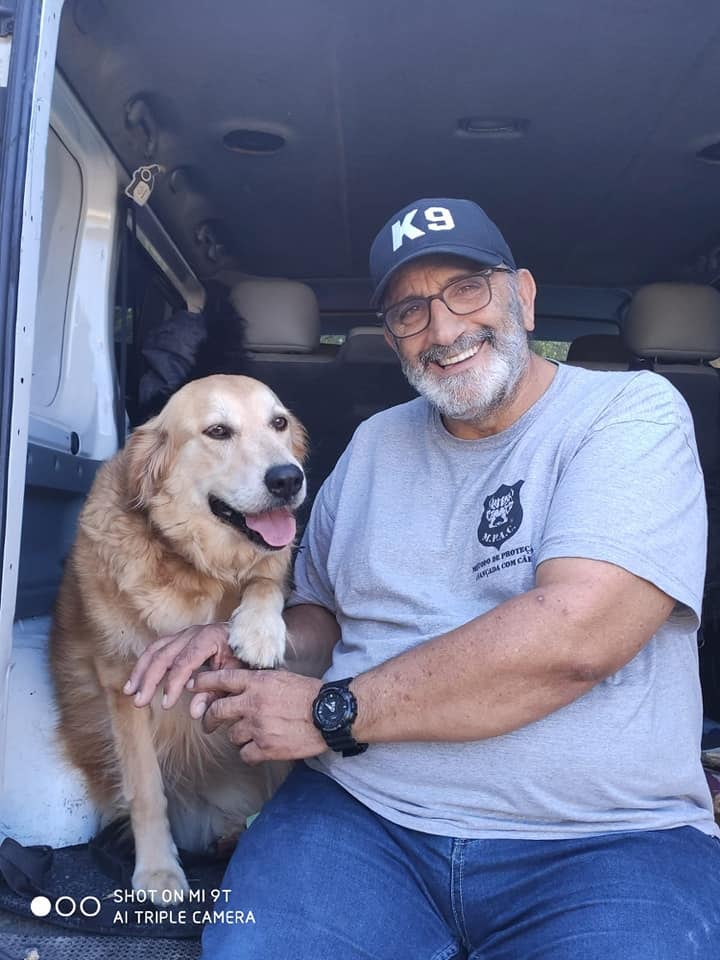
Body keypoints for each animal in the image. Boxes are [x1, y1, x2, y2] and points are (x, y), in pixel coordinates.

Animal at [49, 374, 308, 892]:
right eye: (217, 431)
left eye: (279, 423)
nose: (288, 479)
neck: (200, 567)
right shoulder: (125, 684)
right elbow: (147, 789)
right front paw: (157, 870)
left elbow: (266, 578)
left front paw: (258, 630)